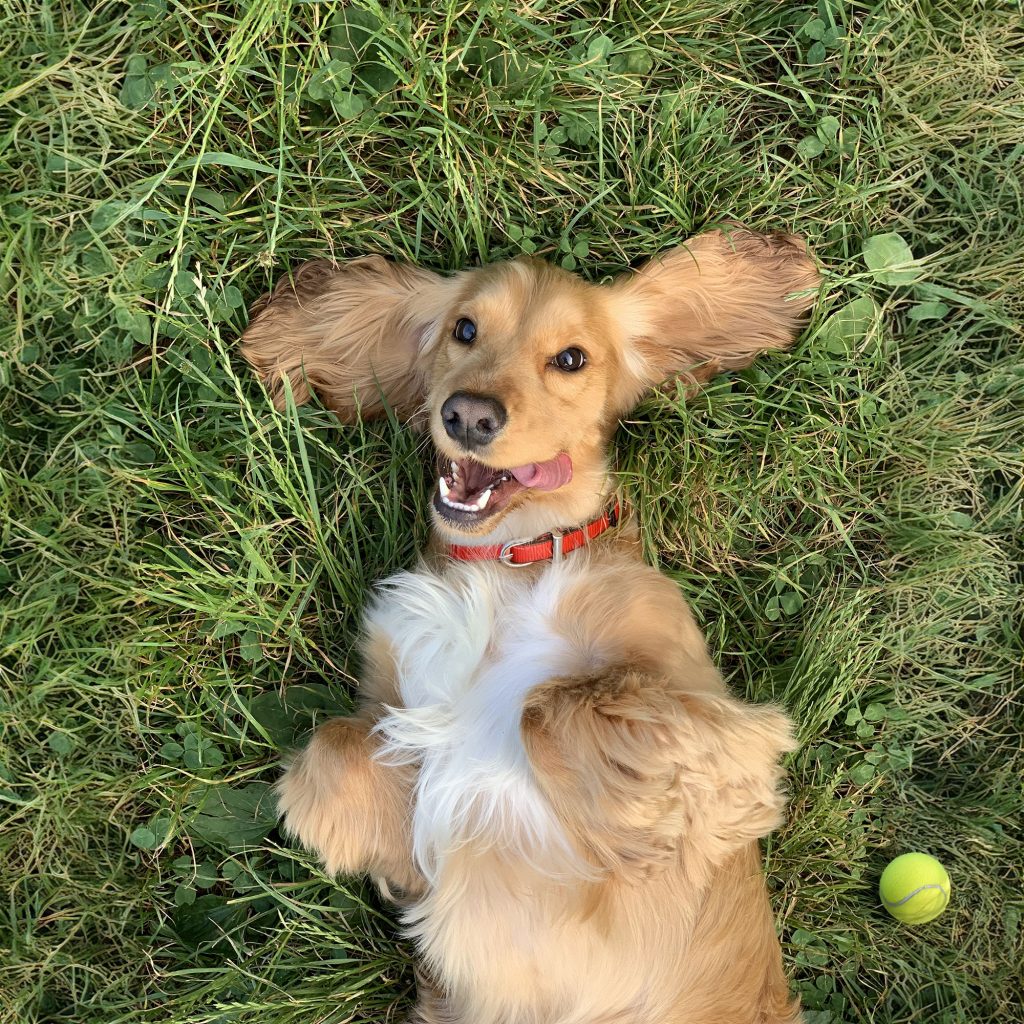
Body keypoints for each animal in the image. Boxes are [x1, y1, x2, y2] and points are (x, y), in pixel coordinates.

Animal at [239, 226, 815, 1024]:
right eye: (464, 330)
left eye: (570, 358)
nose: (468, 415)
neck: (507, 563)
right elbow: (334, 746)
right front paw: (384, 845)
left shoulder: (725, 728)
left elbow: (549, 703)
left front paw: (630, 825)